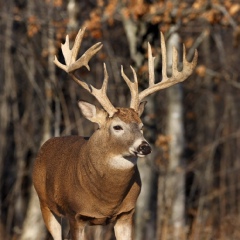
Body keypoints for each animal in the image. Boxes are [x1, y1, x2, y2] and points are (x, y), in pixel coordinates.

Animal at [31, 27, 197, 239]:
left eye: (141, 125)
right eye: (117, 127)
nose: (144, 147)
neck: (107, 199)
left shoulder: (126, 214)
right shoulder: (76, 215)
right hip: (45, 203)